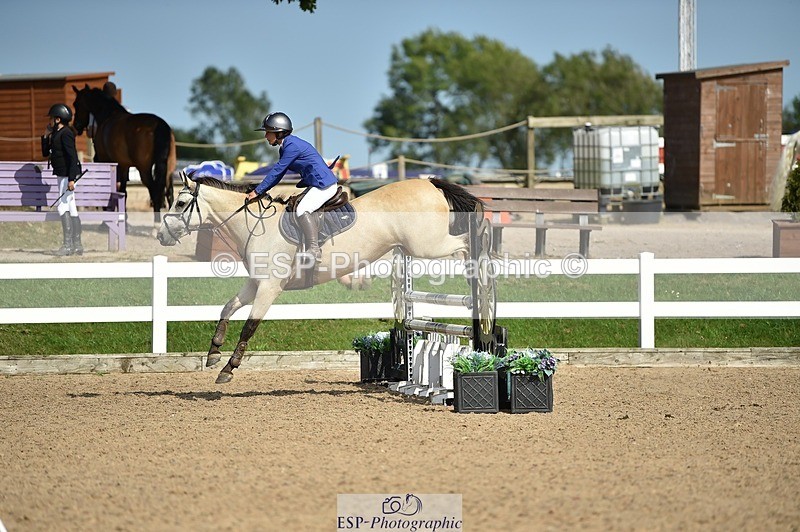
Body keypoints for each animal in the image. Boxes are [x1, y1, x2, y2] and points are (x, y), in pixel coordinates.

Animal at [71, 84, 176, 221]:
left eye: (76, 104)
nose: (76, 126)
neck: (108, 115)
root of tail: (159, 124)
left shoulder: (107, 161)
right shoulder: (124, 165)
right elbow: (123, 192)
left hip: (144, 170)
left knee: (155, 192)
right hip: (168, 169)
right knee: (169, 193)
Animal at [156, 174, 483, 384]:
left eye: (181, 205)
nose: (161, 236)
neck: (254, 225)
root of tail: (429, 182)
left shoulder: (270, 288)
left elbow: (249, 326)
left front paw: (228, 368)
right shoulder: (254, 284)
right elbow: (227, 308)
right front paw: (213, 352)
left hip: (427, 245)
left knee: (467, 242)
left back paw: (477, 274)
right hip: (413, 248)